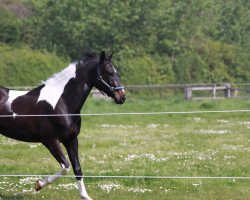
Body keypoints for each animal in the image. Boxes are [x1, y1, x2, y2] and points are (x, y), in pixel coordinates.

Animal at [0, 51, 125, 200]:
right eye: (108, 71)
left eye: (116, 72)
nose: (122, 97)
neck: (62, 102)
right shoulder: (51, 141)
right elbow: (66, 166)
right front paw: (39, 184)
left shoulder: (71, 140)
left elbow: (77, 168)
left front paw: (85, 196)